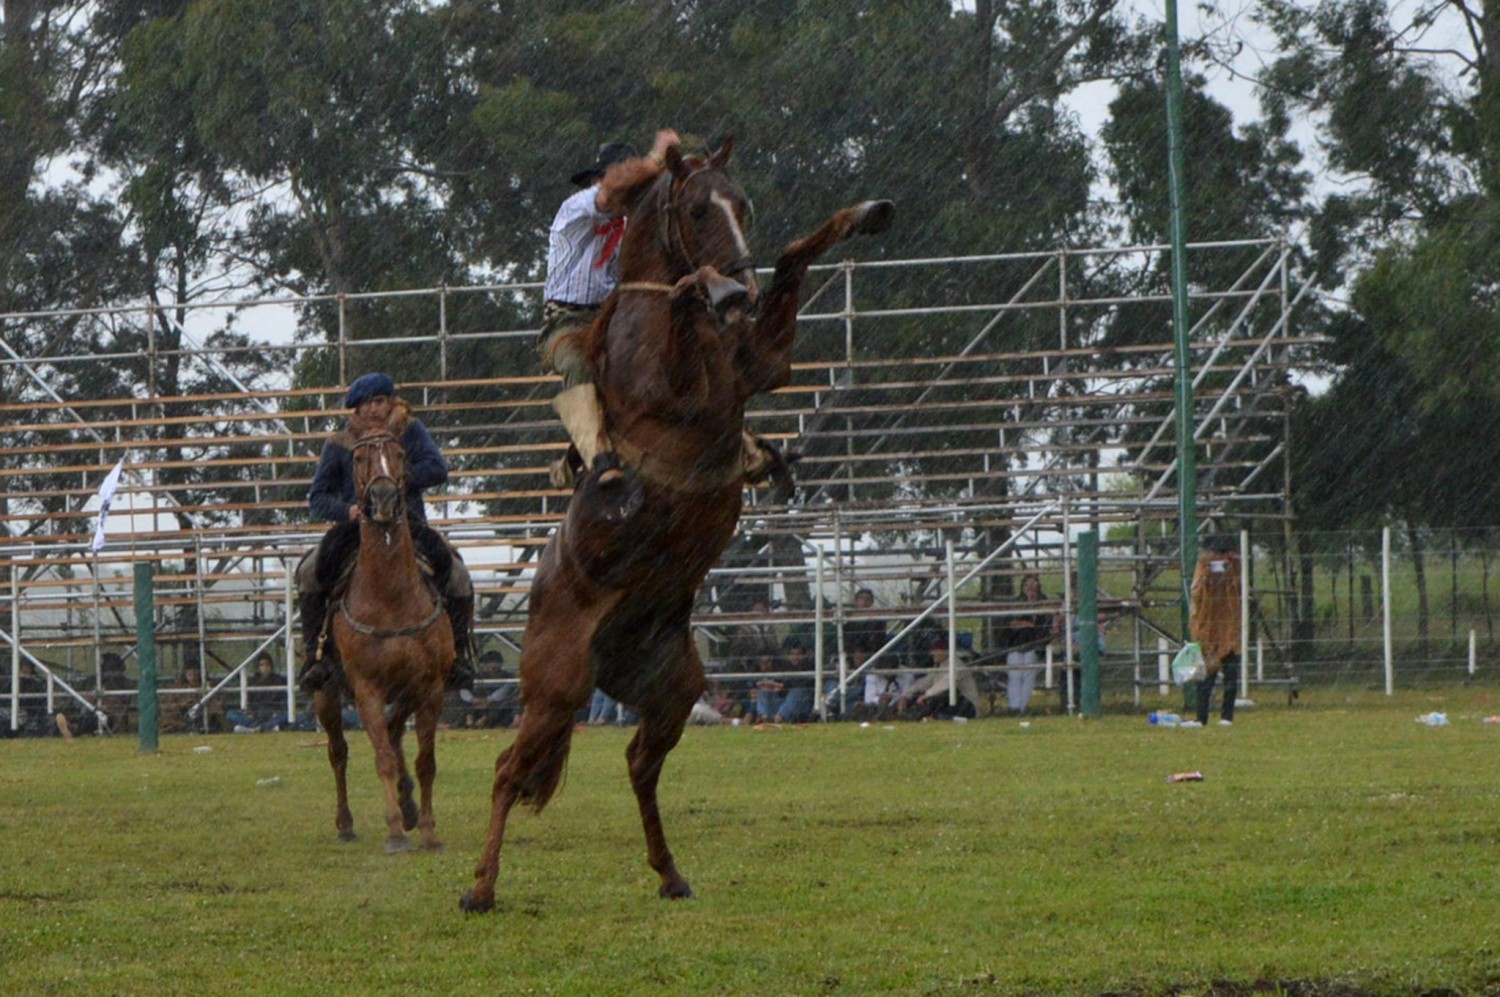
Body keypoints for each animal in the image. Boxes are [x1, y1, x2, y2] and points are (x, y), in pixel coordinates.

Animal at [318, 404, 453, 857]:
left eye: (399, 454)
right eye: (358, 457)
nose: (384, 500)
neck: (391, 598)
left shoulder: (430, 687)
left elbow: (424, 761)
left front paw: (427, 830)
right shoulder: (367, 689)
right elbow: (381, 758)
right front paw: (395, 832)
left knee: (395, 733)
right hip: (325, 694)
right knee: (338, 752)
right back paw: (344, 824)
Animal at [462, 140, 888, 911]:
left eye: (742, 204)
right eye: (694, 210)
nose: (739, 290)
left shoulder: (762, 362)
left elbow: (793, 258)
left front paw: (865, 213)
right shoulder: (675, 386)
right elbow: (690, 312)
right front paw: (703, 290)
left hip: (673, 688)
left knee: (639, 763)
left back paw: (670, 872)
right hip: (556, 684)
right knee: (511, 767)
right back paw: (480, 887)